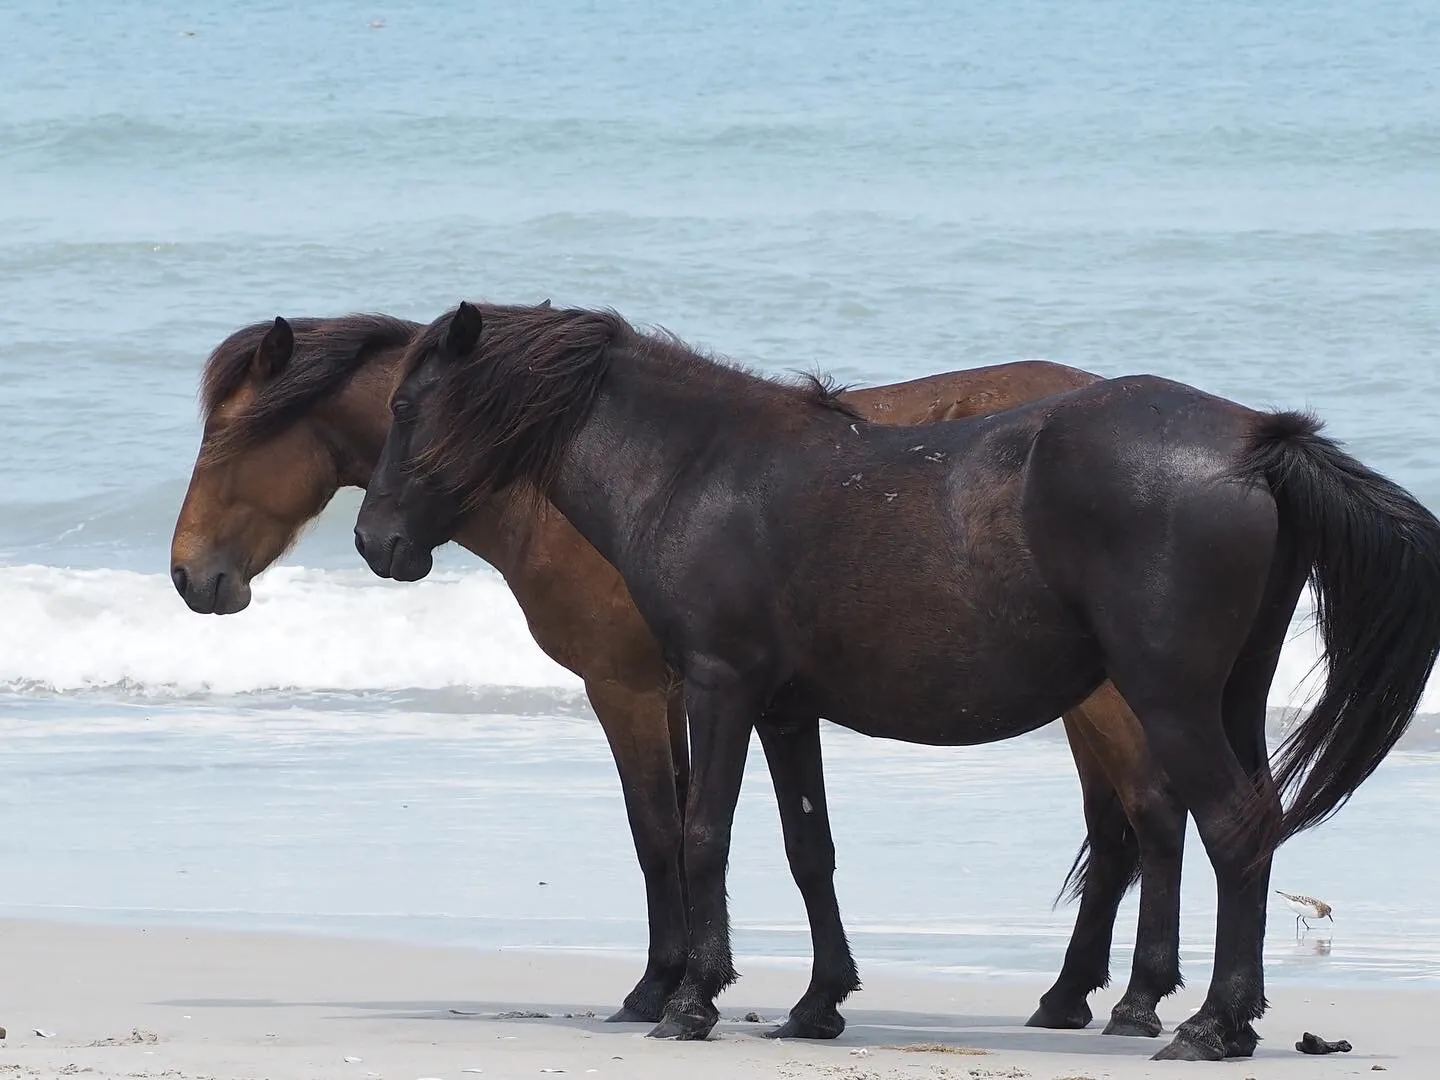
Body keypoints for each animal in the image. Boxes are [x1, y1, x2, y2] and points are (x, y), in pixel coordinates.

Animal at [353, 299, 1440, 1062]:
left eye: (406, 406)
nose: (374, 541)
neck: (696, 470)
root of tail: (1256, 442)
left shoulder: (717, 690)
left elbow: (703, 833)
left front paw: (692, 1001)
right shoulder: (787, 712)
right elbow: (810, 850)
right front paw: (817, 1002)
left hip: (1168, 700)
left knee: (1228, 829)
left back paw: (1208, 1025)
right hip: (1232, 700)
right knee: (1246, 821)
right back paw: (1227, 1018)